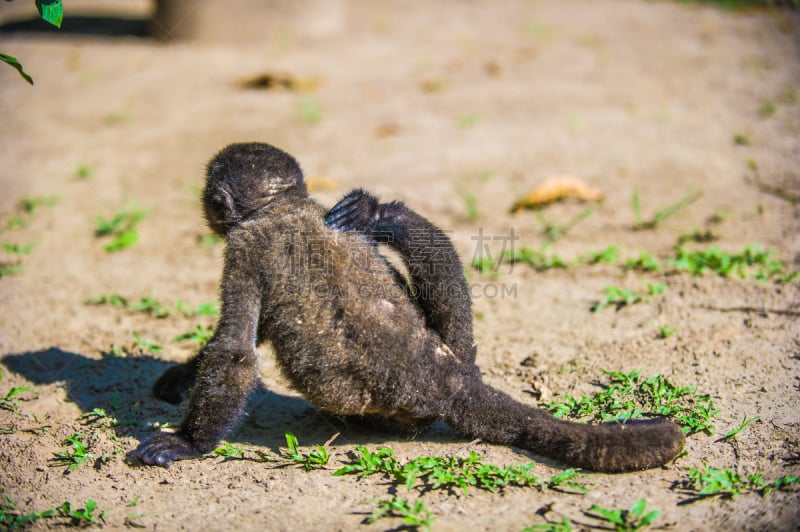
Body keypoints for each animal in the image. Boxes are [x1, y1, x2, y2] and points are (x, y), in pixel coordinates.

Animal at [134, 141, 684, 470]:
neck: (284, 209)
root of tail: (449, 380)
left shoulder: (244, 250)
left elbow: (235, 351)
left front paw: (189, 442)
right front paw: (182, 375)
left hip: (397, 417)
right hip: (457, 350)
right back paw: (383, 215)